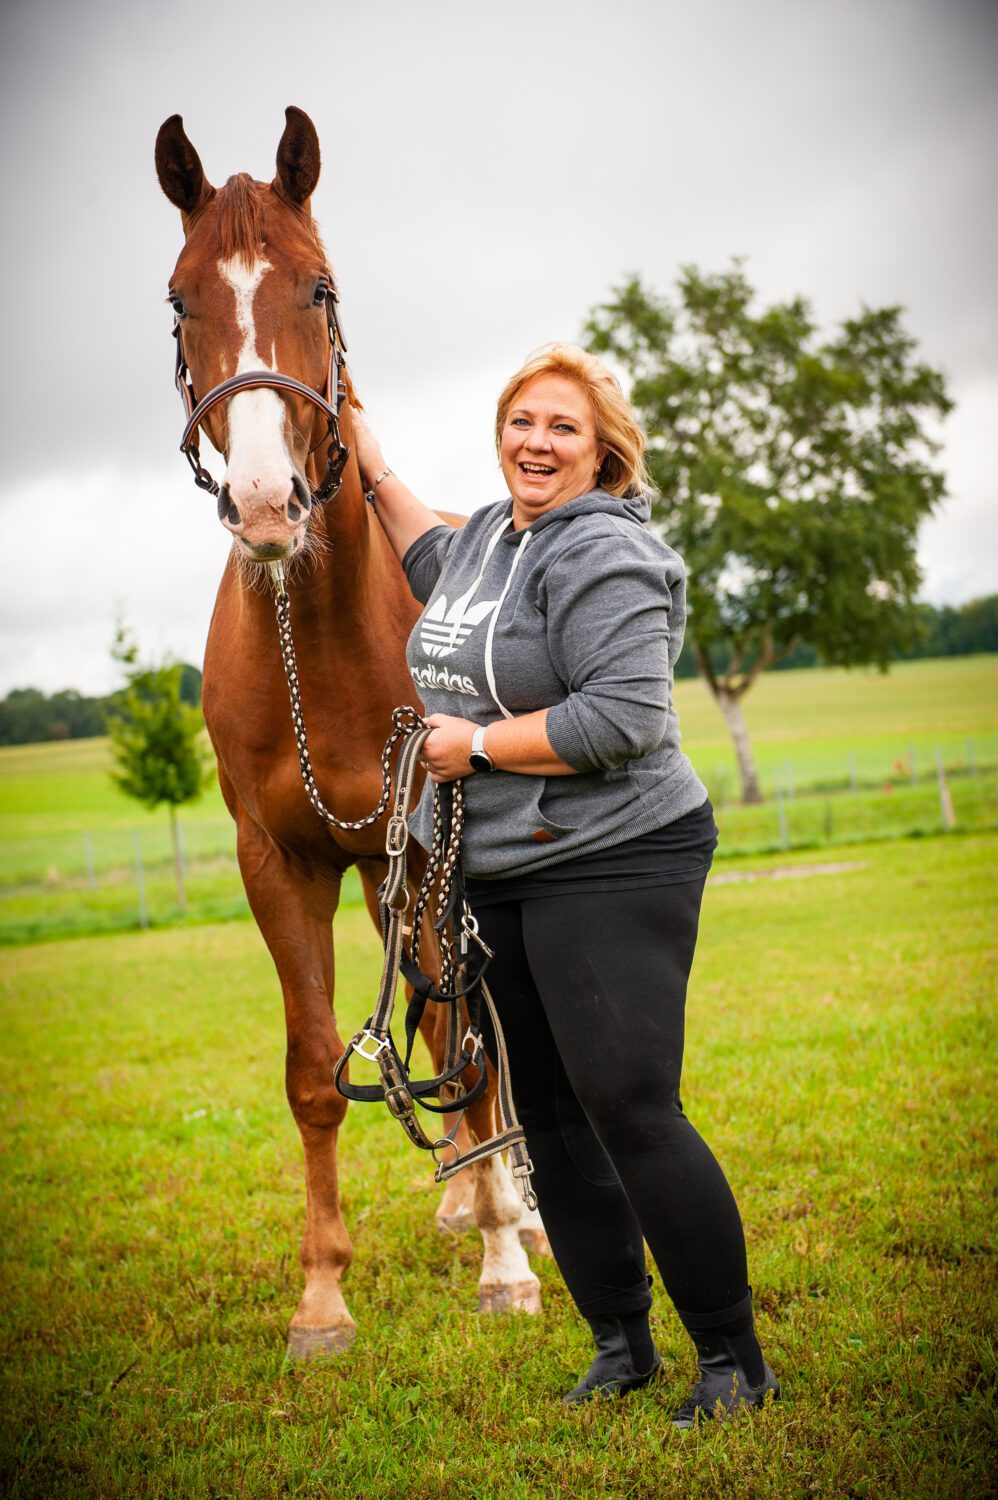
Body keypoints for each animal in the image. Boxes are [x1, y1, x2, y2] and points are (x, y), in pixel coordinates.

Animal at [155, 106, 544, 1357]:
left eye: (318, 287)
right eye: (180, 300)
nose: (266, 505)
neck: (311, 643)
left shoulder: (431, 853)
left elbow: (463, 1038)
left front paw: (503, 1263)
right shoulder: (277, 864)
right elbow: (315, 1072)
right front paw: (322, 1298)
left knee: (465, 1028)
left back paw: (510, 1207)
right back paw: (467, 1194)